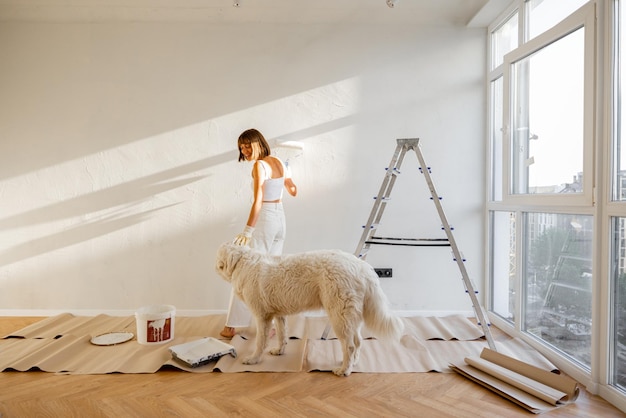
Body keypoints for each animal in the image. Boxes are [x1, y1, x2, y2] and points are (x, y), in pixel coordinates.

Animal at [214, 242, 402, 376]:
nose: (214, 266)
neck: (243, 263)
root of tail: (363, 267)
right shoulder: (278, 315)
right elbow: (282, 335)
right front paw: (279, 351)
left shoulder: (262, 317)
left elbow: (260, 341)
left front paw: (253, 359)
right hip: (350, 317)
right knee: (358, 342)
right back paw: (353, 364)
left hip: (339, 316)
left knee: (349, 346)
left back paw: (344, 370)